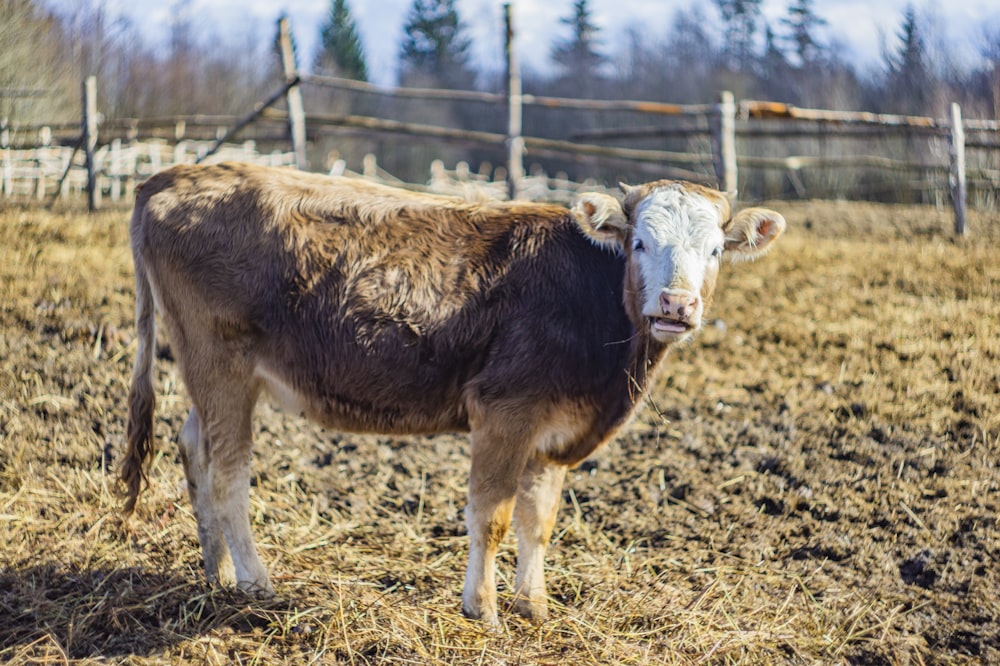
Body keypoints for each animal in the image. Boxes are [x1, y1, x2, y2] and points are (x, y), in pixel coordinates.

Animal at [121, 161, 784, 624]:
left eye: (716, 249)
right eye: (640, 243)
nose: (676, 304)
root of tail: (172, 176)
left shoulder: (554, 430)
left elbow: (538, 520)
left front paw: (533, 605)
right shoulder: (505, 411)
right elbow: (492, 517)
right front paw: (483, 609)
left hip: (209, 371)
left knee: (193, 448)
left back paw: (216, 571)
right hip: (223, 363)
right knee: (228, 473)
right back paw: (257, 584)